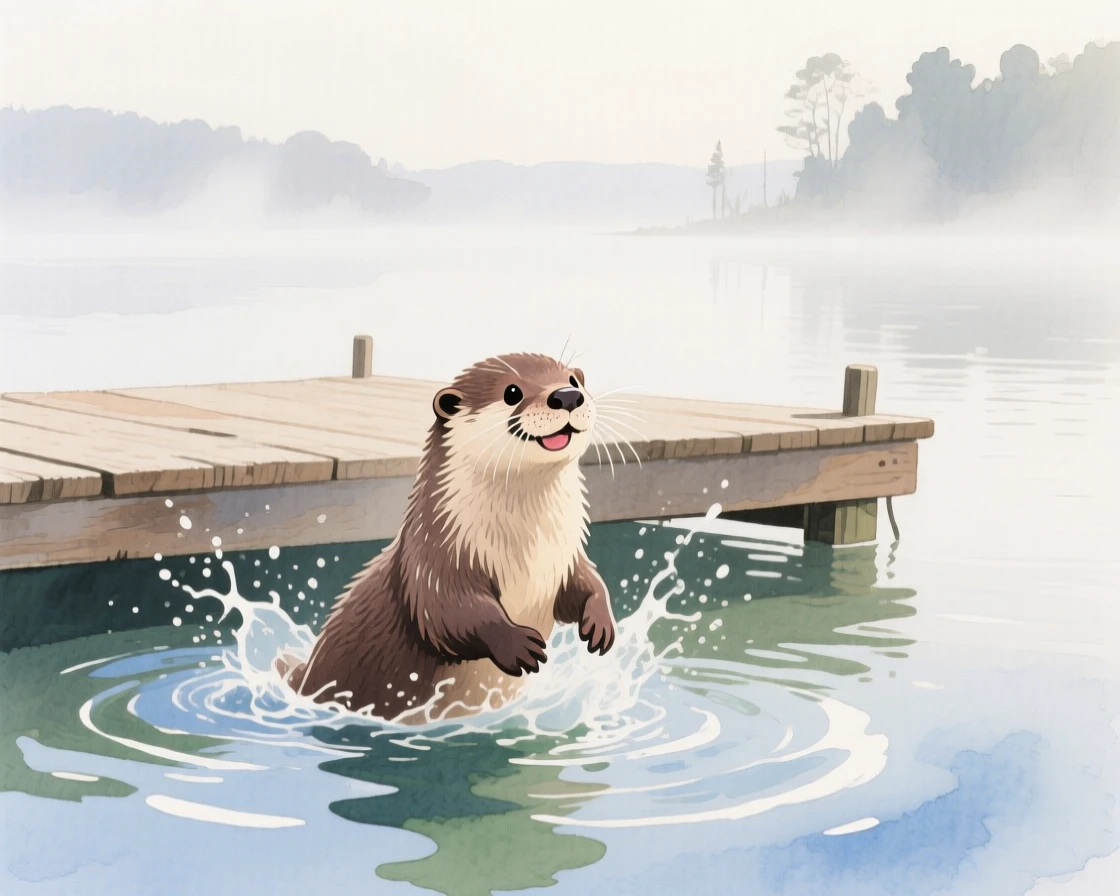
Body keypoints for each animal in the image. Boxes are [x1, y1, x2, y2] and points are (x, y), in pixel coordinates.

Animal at [277, 353, 615, 720]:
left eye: (573, 380)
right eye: (512, 392)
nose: (567, 396)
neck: (529, 550)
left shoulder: (564, 558)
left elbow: (587, 582)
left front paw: (601, 621)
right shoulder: (435, 554)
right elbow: (448, 610)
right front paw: (516, 644)